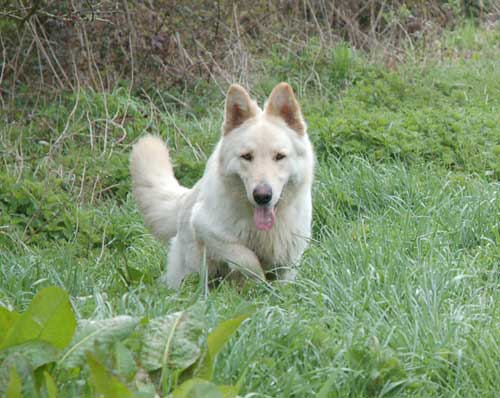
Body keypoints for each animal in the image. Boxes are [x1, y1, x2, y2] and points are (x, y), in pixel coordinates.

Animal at [131, 83, 314, 290]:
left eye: (279, 156)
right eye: (247, 156)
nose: (262, 196)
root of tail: (185, 199)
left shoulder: (290, 256)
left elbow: (283, 282)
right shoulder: (207, 228)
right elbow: (247, 259)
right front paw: (259, 284)